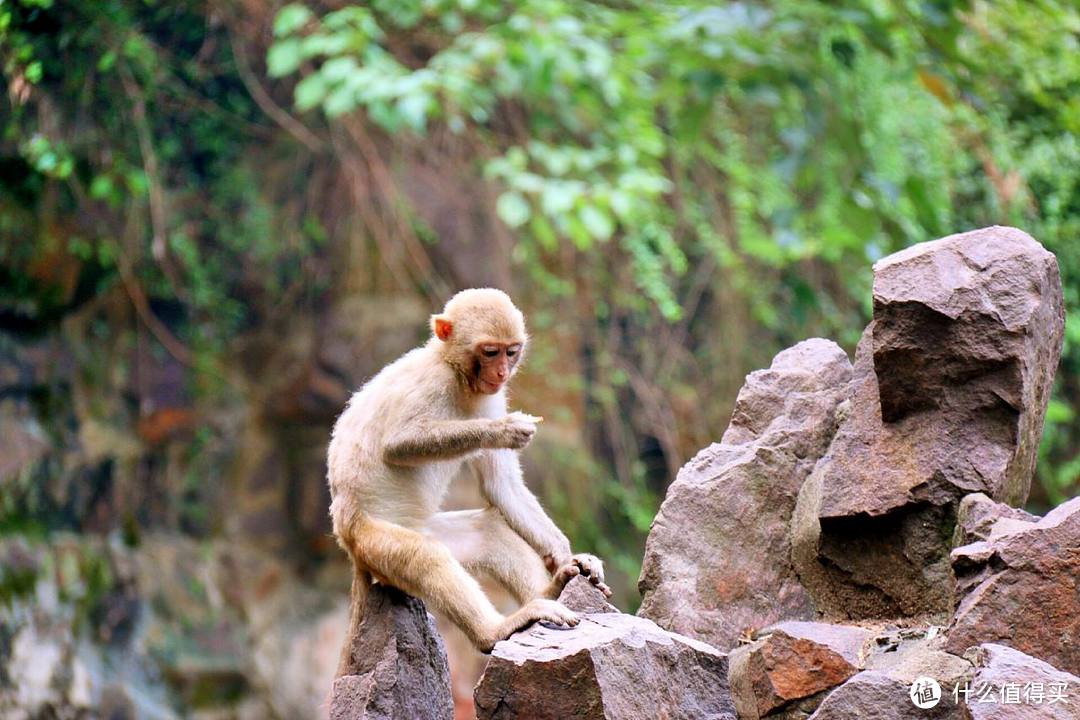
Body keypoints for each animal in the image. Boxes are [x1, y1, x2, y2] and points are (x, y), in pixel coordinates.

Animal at [324, 289, 613, 664]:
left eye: (511, 351)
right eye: (490, 352)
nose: (502, 371)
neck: (457, 374)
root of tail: (348, 541)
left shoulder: (493, 394)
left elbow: (502, 486)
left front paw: (567, 556)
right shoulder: (431, 382)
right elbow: (398, 444)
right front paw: (500, 430)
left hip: (420, 533)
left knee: (487, 531)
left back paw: (551, 589)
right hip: (374, 542)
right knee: (425, 557)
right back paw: (497, 630)